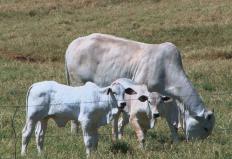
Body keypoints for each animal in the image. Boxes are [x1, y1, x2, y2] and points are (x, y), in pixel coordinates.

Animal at [64, 33, 215, 140]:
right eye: (206, 128)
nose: (198, 144)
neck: (167, 70)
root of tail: (73, 44)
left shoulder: (169, 100)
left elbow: (172, 121)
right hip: (78, 82)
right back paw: (75, 132)